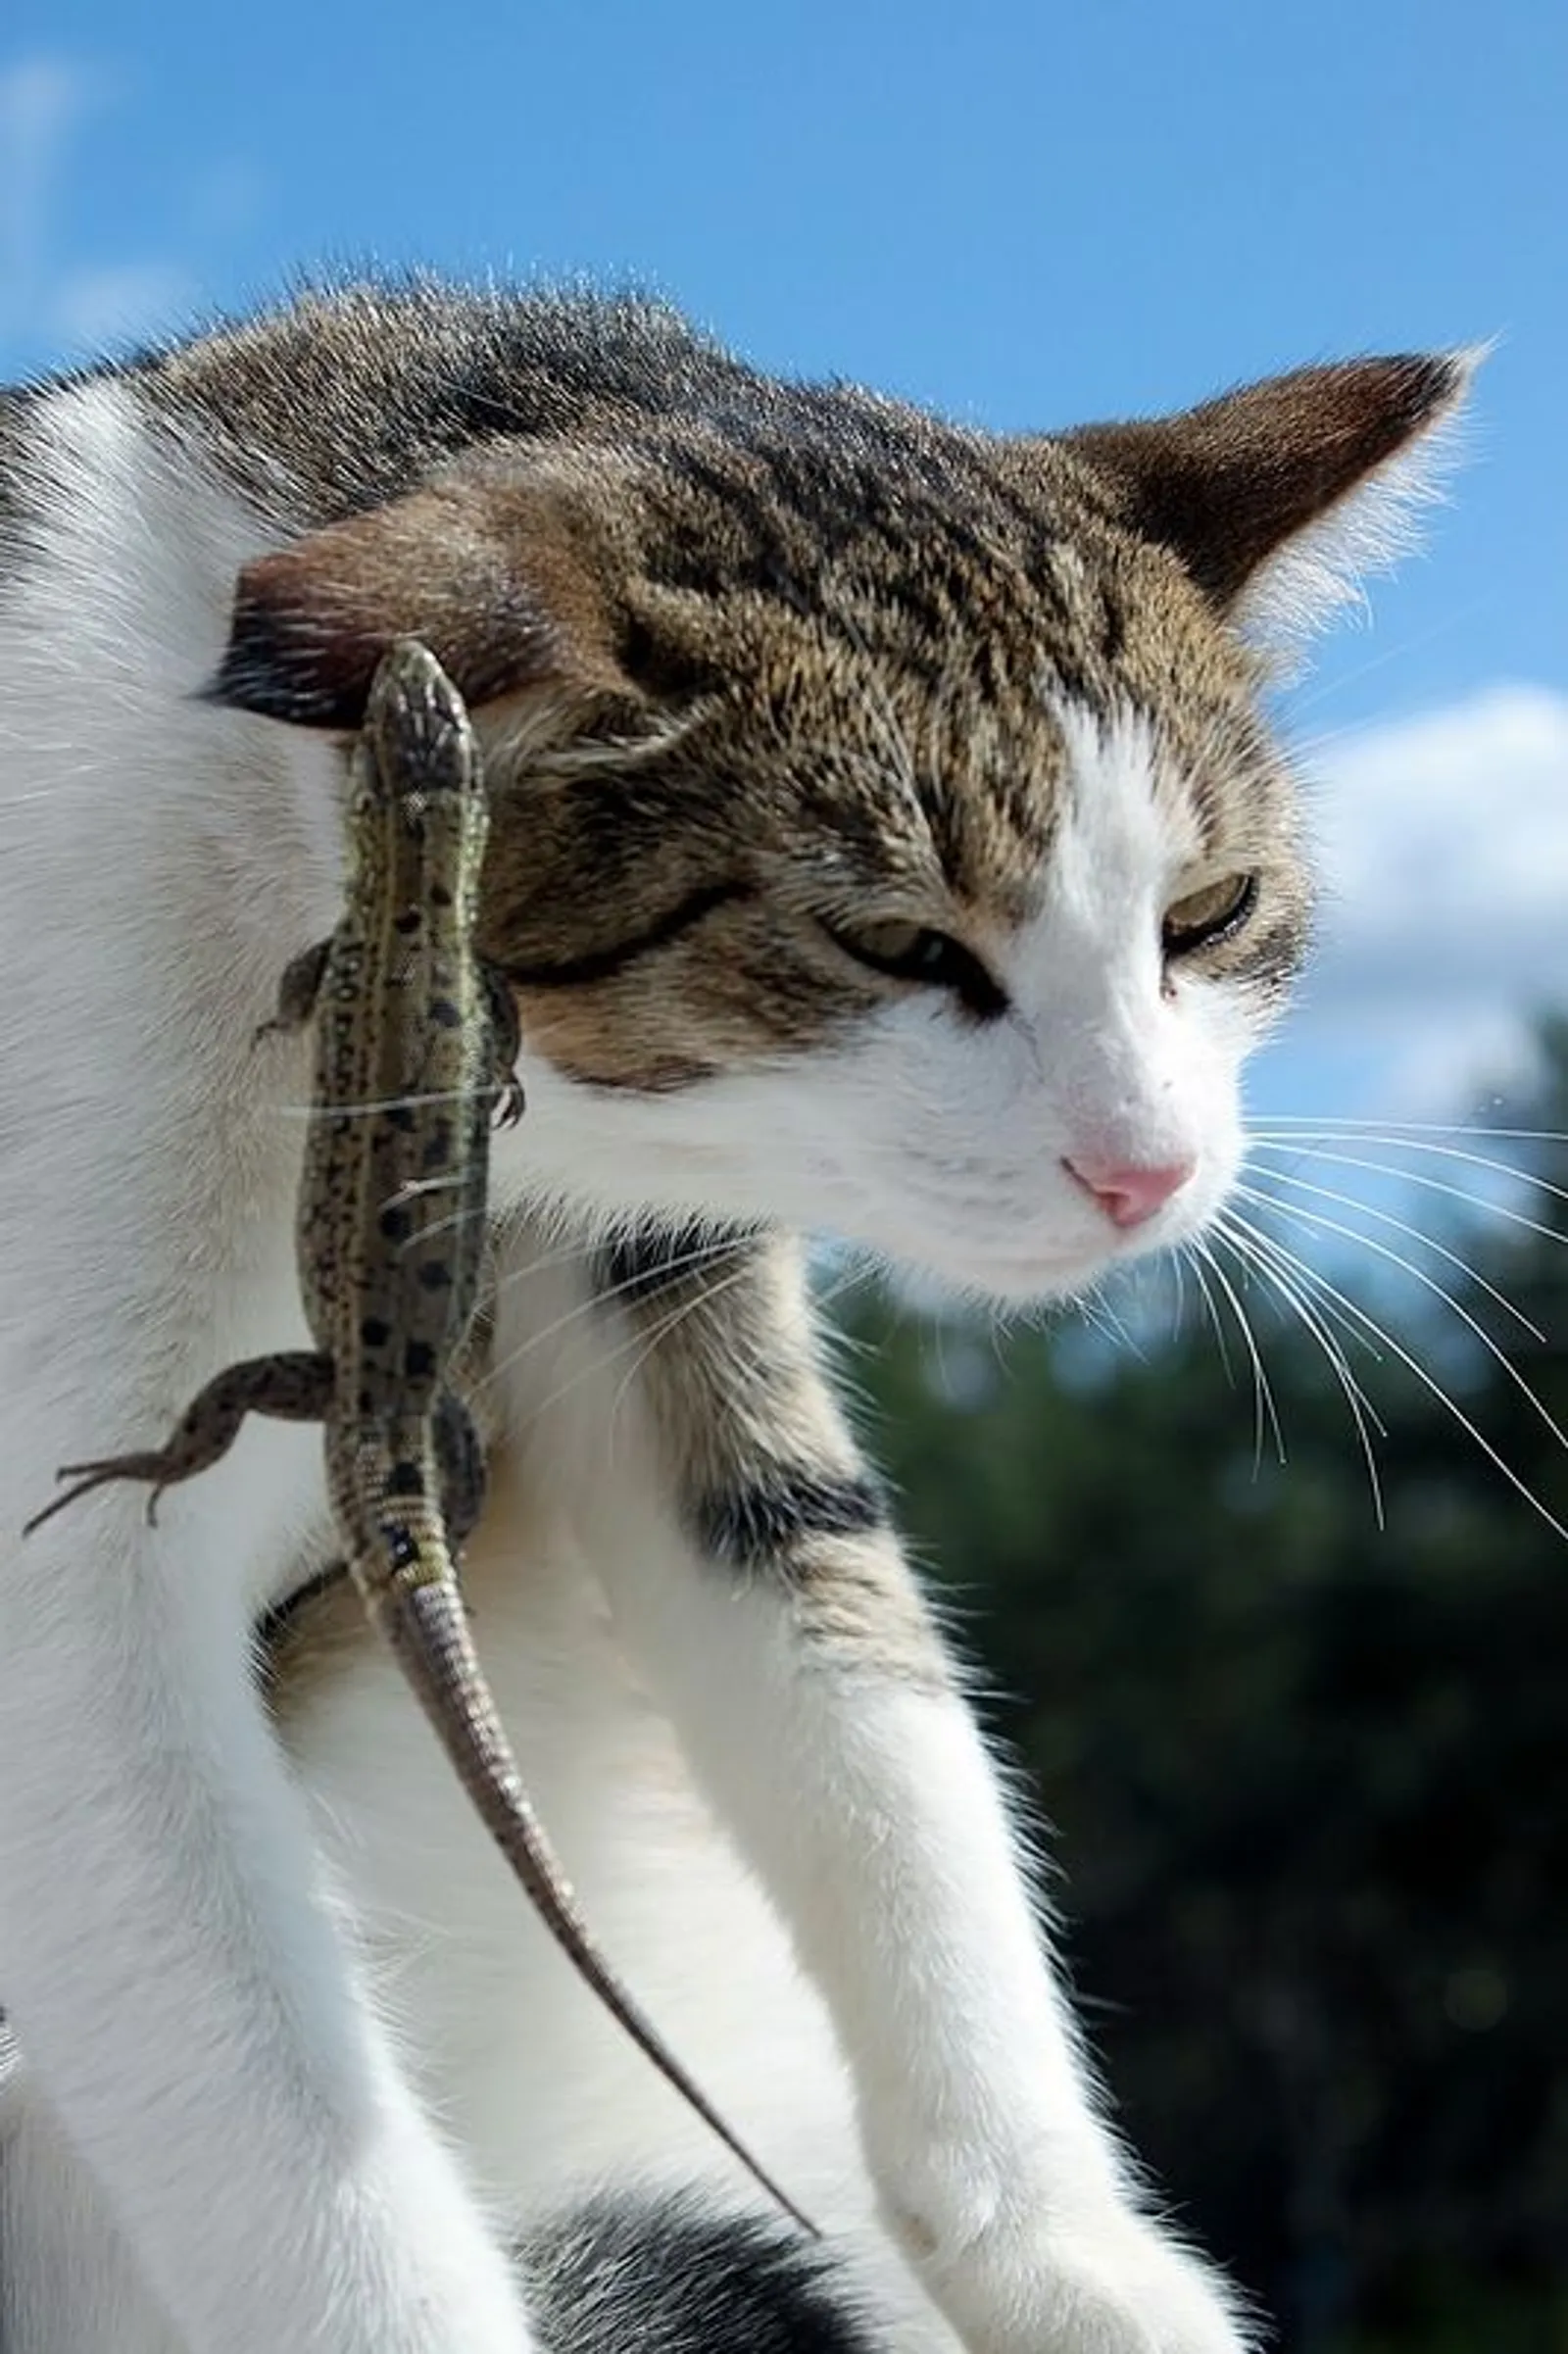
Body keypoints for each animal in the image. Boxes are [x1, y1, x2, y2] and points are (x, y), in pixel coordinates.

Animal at [0, 279, 1469, 2354]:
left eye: (1213, 913)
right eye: (897, 944)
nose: (1152, 1171)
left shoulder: (660, 1272)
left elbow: (852, 1673)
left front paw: (1072, 2257)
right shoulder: (71, 1608)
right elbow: (270, 2103)